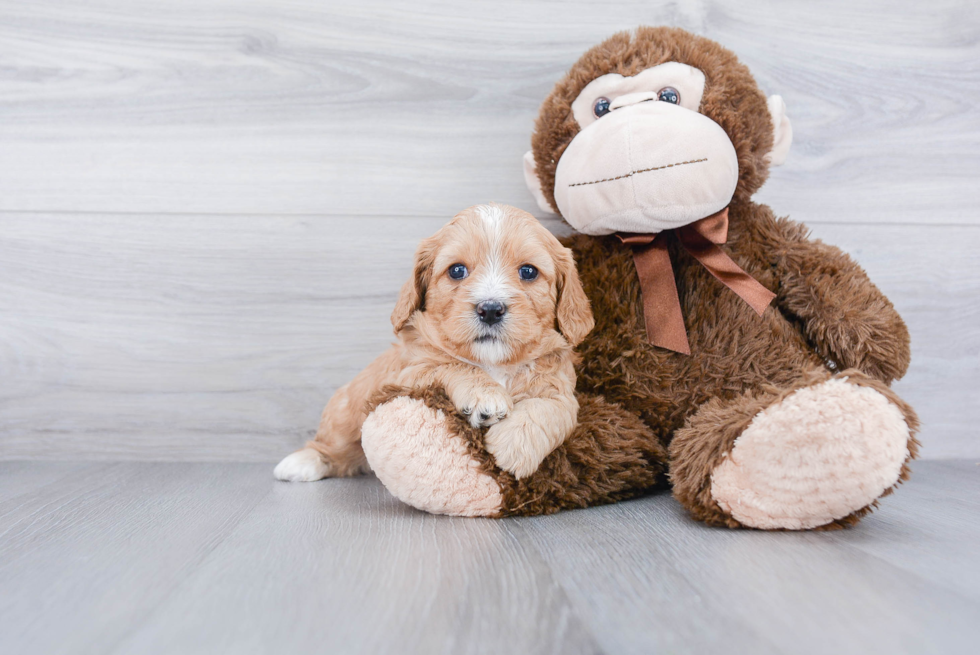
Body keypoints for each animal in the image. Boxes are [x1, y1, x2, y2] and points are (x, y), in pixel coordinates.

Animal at [272, 201, 592, 482]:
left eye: (528, 271)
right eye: (457, 270)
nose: (490, 309)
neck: (494, 364)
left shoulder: (563, 389)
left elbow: (552, 408)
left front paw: (512, 445)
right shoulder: (407, 373)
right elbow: (451, 365)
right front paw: (484, 395)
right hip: (345, 413)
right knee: (332, 446)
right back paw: (302, 462)